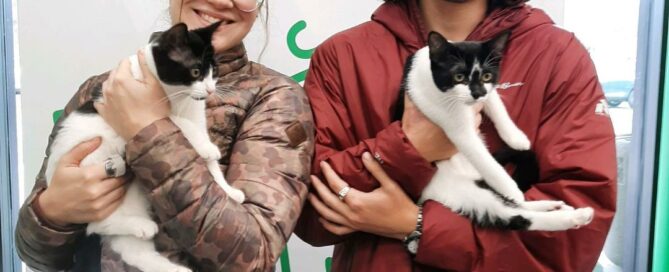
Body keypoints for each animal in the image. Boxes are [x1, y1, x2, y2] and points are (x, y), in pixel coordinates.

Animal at [44, 22, 244, 270]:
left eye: (214, 71)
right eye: (195, 72)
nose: (210, 90)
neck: (178, 97)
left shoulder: (197, 115)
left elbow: (210, 167)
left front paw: (228, 191)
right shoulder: (140, 107)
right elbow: (173, 121)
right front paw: (206, 147)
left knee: (133, 251)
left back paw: (170, 263)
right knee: (95, 224)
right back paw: (141, 225)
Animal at [400, 31, 592, 232]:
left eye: (486, 76)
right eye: (459, 77)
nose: (477, 93)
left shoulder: (488, 92)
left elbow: (497, 105)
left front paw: (517, 138)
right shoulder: (454, 126)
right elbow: (485, 160)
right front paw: (510, 187)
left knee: (519, 207)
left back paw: (554, 205)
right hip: (461, 193)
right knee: (518, 216)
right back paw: (575, 216)